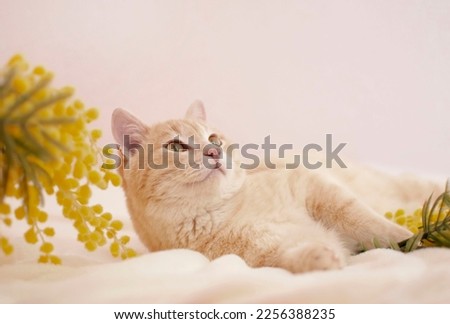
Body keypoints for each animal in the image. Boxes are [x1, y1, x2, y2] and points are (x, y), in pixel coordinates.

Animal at [111, 101, 440, 274]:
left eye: (214, 139)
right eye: (176, 146)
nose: (214, 152)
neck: (224, 213)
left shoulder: (315, 187)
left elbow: (368, 222)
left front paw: (411, 238)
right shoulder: (265, 254)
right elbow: (294, 258)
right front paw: (321, 259)